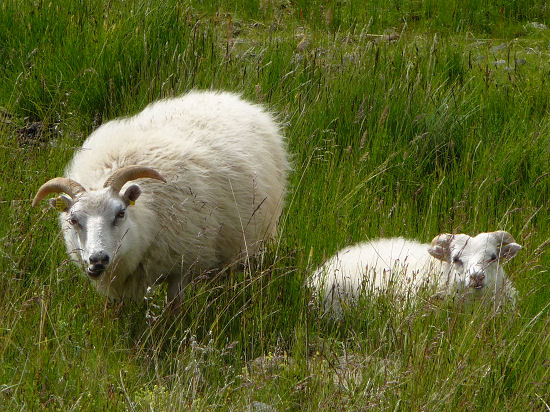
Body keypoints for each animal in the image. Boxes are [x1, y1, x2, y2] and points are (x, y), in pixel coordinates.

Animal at [32, 91, 292, 302]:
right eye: (73, 220)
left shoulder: (183, 265)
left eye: (121, 213)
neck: (145, 219)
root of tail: (232, 98)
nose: (98, 260)